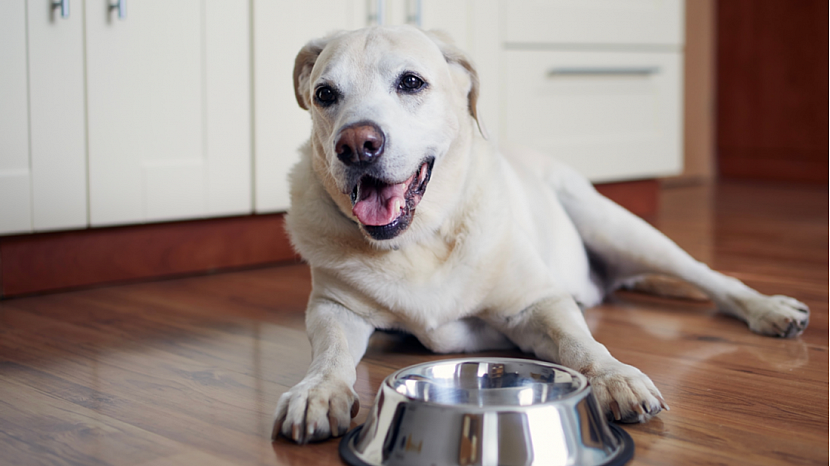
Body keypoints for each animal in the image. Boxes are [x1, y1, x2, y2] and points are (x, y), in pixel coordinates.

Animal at [272, 25, 812, 444]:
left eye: (411, 82)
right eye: (325, 95)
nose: (355, 144)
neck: (420, 240)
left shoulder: (537, 302)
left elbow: (581, 345)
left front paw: (615, 377)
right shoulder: (335, 309)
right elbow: (330, 354)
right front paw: (317, 392)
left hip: (617, 227)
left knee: (712, 278)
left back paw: (769, 309)